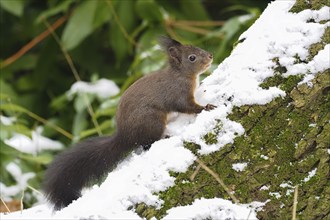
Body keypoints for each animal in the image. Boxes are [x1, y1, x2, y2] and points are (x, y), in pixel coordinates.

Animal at [43, 36, 214, 210]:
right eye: (192, 58)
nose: (210, 56)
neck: (181, 75)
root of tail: (124, 136)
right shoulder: (178, 93)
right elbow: (186, 106)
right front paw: (205, 107)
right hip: (152, 120)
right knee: (147, 143)